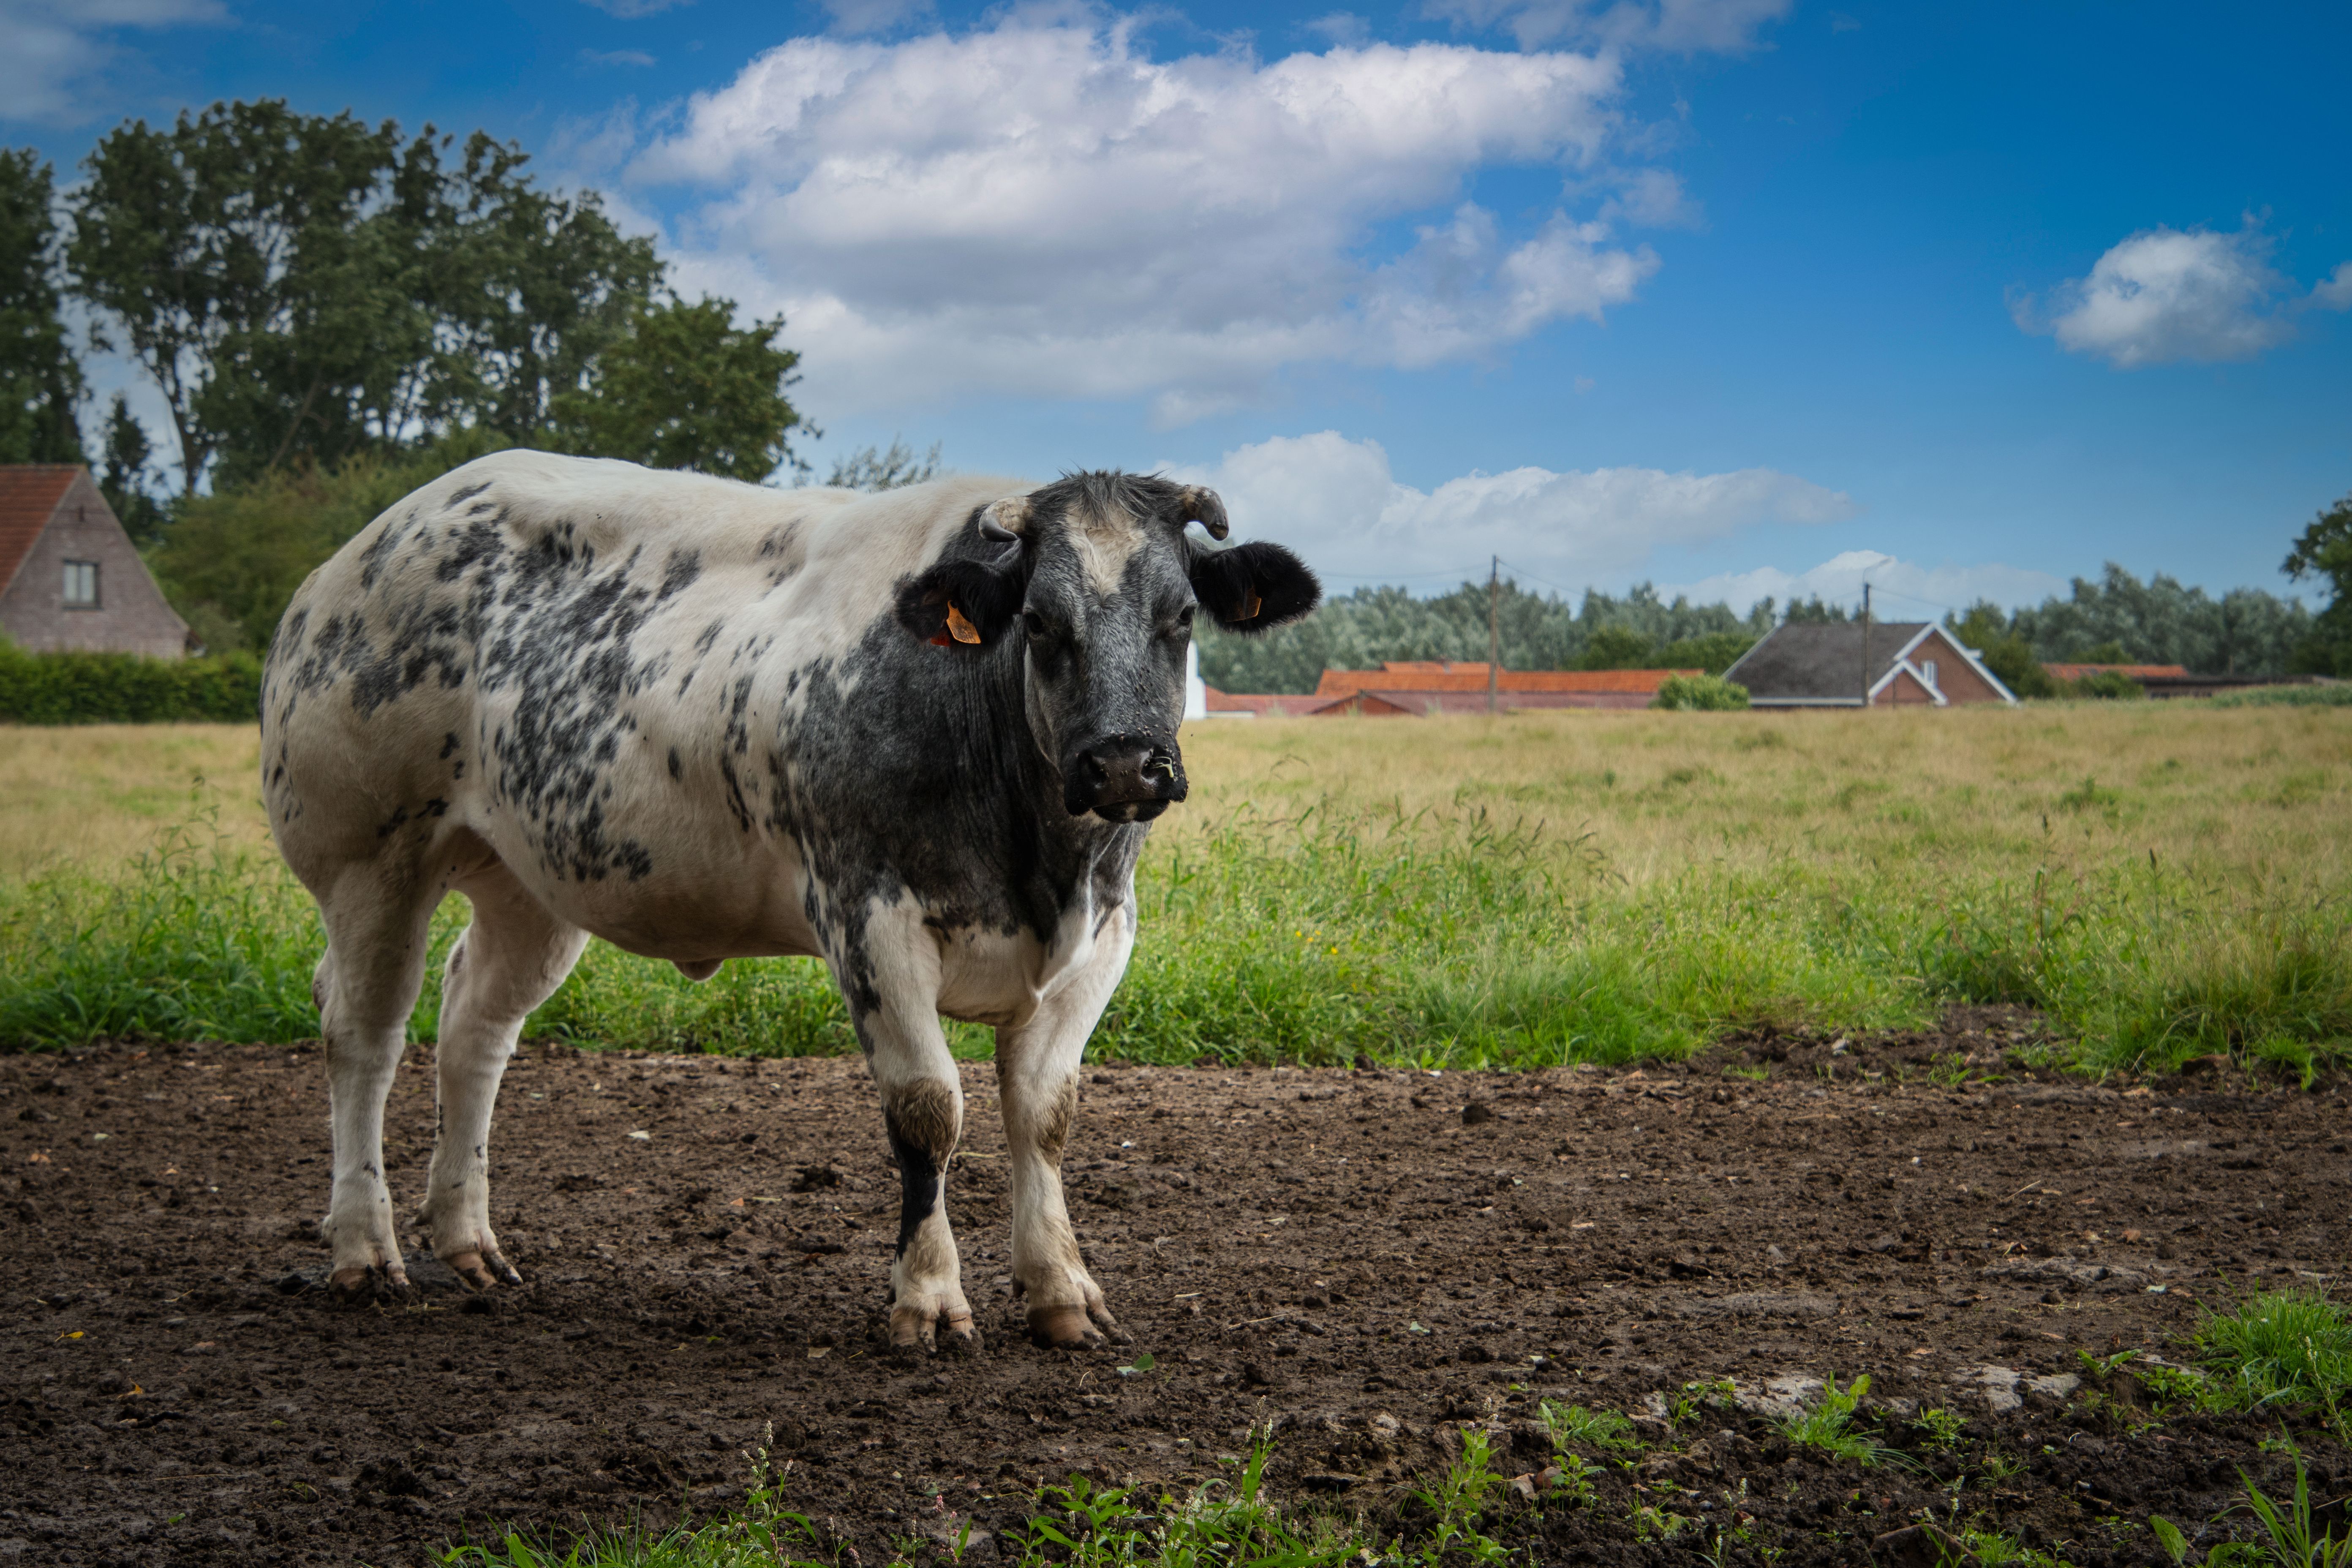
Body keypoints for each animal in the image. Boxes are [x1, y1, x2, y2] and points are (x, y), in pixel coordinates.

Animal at [258, 451, 1318, 1351]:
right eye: (1042, 622)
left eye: (1179, 617)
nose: (1126, 763)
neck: (1037, 855)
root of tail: (379, 537)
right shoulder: (868, 917)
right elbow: (930, 1108)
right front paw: (930, 1299)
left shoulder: (1102, 934)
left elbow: (1043, 1114)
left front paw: (1062, 1289)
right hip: (369, 858)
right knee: (365, 1033)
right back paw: (365, 1248)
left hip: (529, 880)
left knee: (475, 1026)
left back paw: (467, 1238)